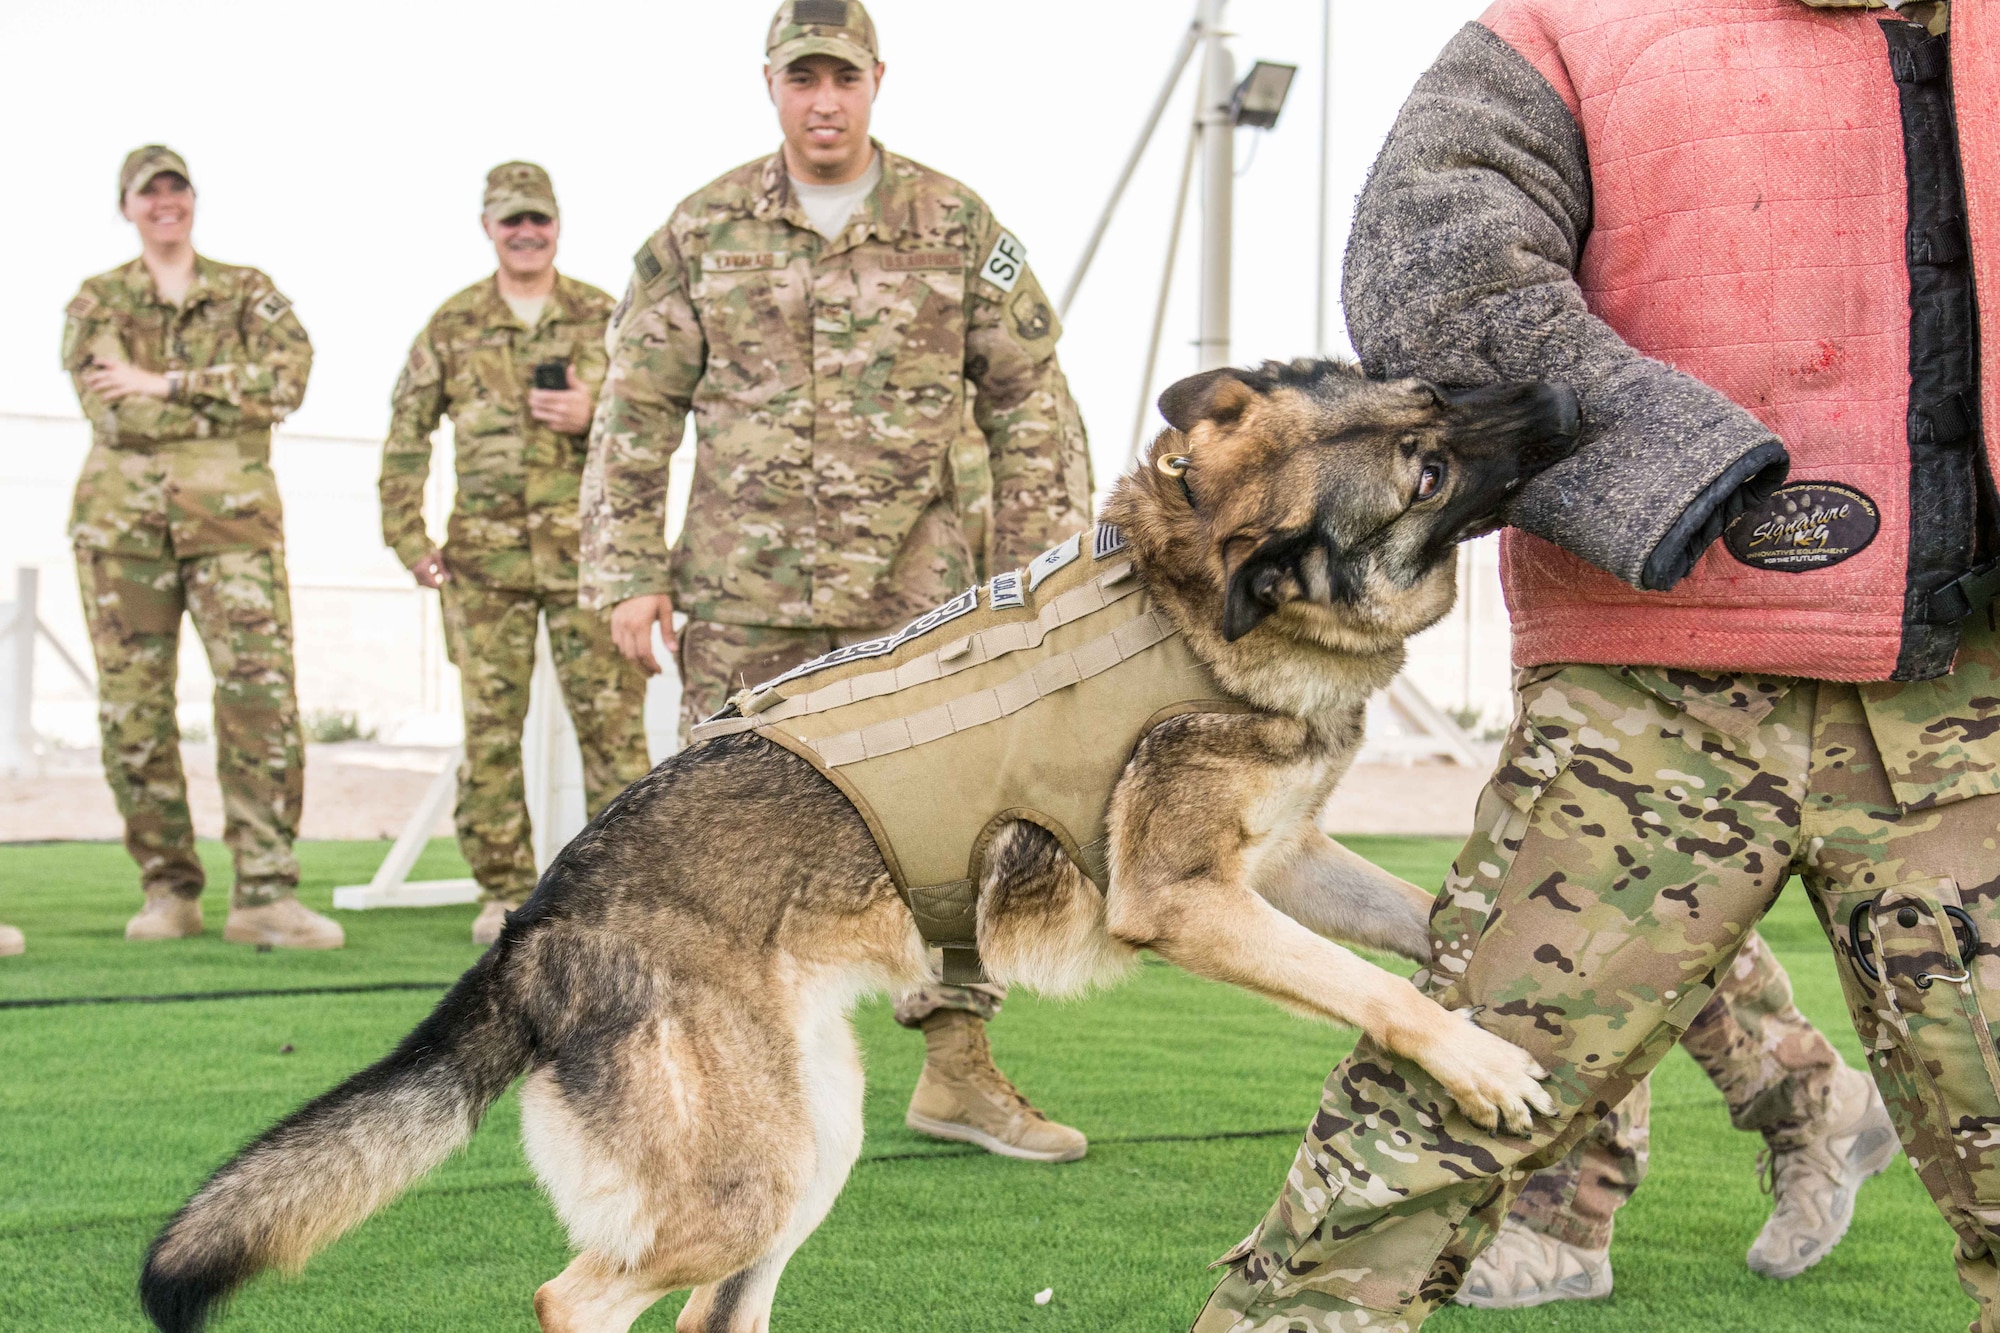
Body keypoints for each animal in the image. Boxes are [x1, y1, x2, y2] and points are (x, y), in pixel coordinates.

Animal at [137, 358, 1576, 1328]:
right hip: (748, 1178)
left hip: (805, 1147)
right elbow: (1376, 987)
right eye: (1426, 468)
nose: (1557, 394)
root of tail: (535, 932)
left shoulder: (1282, 868)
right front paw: (1480, 1061)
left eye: (1434, 400)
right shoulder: (1187, 903)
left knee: (715, 1307)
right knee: (578, 1297)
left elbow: (1411, 920)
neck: (1194, 605)